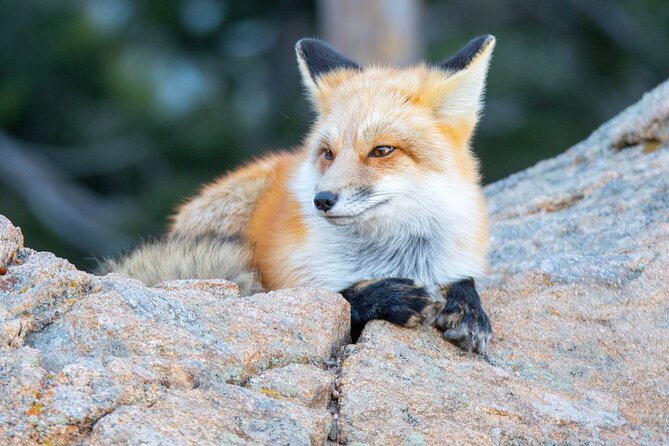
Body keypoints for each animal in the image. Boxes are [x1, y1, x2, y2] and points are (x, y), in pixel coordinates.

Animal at [102, 34, 494, 354]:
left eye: (382, 151)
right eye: (328, 153)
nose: (321, 200)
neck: (396, 256)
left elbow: (464, 278)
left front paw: (467, 309)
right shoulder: (289, 276)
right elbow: (332, 297)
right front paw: (390, 297)